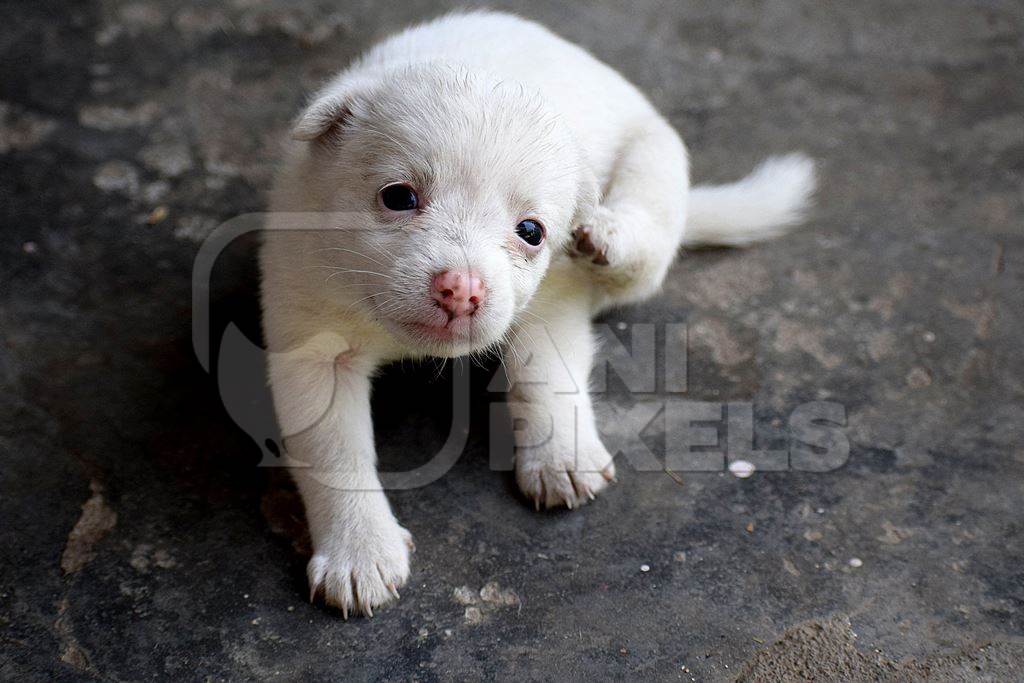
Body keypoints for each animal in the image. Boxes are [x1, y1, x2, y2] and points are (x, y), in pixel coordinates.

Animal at [262, 9, 815, 618]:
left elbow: (546, 375)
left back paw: (611, 233)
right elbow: (335, 452)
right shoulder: (312, 350)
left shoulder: (553, 303)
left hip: (656, 159)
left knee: (645, 234)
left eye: (531, 231)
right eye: (398, 197)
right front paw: (359, 551)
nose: (461, 290)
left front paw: (560, 455)